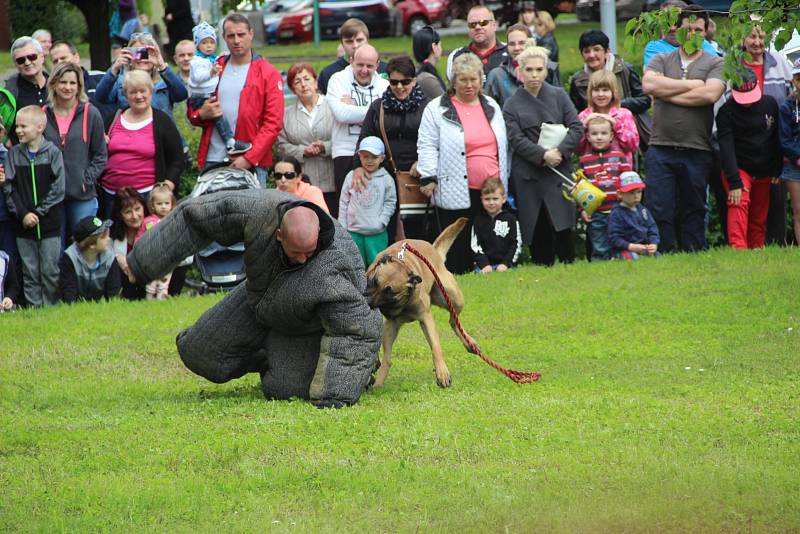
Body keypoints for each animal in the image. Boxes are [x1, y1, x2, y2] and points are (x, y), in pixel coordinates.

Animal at [368, 219, 478, 390]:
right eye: (374, 281)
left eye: (389, 292)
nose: (368, 300)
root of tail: (433, 248)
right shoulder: (391, 325)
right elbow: (386, 357)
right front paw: (379, 379)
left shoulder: (426, 319)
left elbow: (436, 347)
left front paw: (442, 373)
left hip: (453, 297)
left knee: (454, 321)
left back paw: (469, 342)